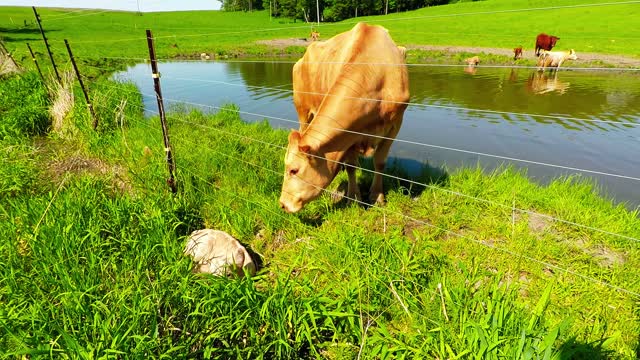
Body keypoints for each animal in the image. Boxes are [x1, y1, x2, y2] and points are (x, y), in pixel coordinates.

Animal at [278, 21, 410, 214]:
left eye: (293, 170)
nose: (282, 204)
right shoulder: (348, 135)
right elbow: (351, 166)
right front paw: (353, 197)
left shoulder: (395, 125)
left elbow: (379, 162)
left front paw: (377, 196)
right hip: (303, 110)